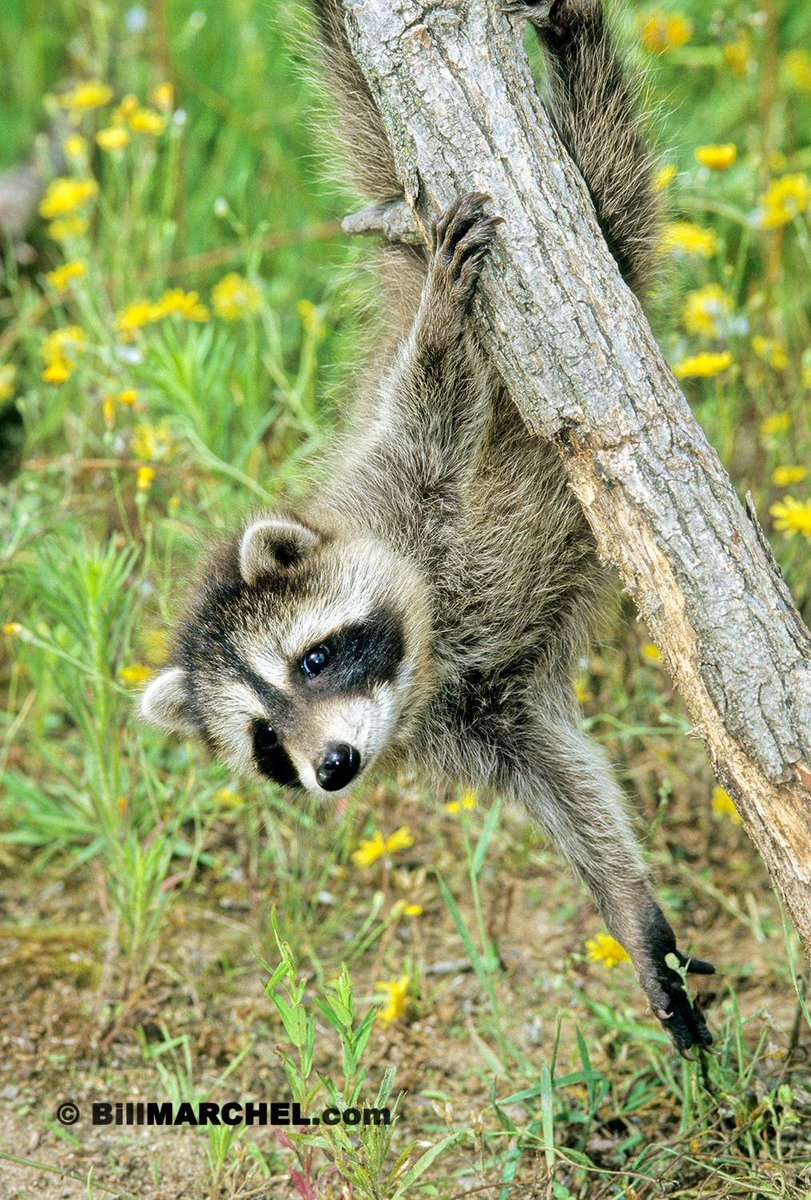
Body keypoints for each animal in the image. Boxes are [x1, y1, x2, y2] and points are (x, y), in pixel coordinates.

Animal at [141, 0, 715, 1052]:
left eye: (315, 659)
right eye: (265, 743)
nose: (332, 767)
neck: (430, 650)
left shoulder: (403, 480)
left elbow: (437, 392)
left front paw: (444, 323)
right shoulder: (473, 714)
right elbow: (557, 779)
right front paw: (630, 911)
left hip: (599, 231)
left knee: (609, 165)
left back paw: (574, 48)